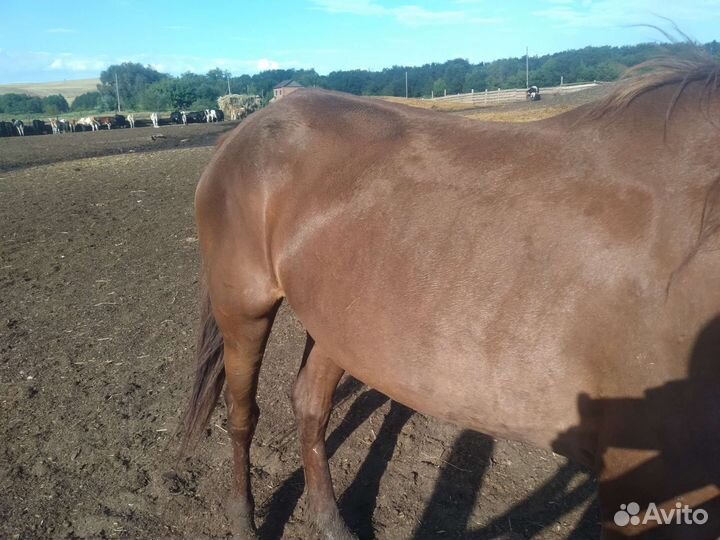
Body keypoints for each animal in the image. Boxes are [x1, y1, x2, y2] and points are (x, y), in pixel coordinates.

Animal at [183, 50, 720, 540]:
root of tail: (242, 130)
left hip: (337, 325)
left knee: (309, 407)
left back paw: (330, 522)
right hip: (244, 309)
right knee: (241, 413)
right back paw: (243, 518)